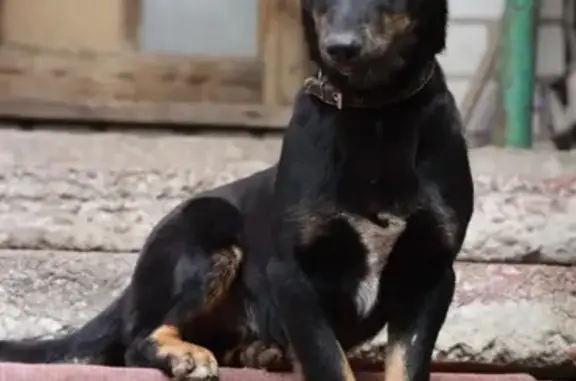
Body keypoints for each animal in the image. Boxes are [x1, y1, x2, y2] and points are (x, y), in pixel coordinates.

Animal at [0, 0, 472, 380]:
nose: (340, 47)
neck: (375, 113)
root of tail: (129, 294)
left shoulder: (430, 274)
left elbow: (407, 365)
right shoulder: (293, 275)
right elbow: (328, 362)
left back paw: (258, 351)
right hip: (210, 225)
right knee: (139, 341)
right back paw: (185, 355)